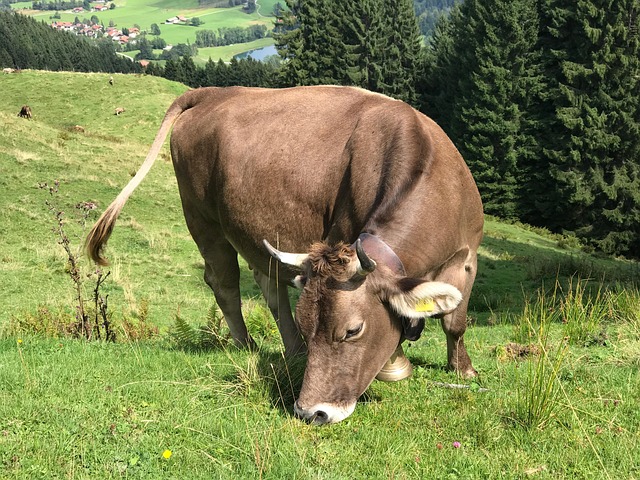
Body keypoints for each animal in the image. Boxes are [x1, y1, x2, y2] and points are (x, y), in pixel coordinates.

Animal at [86, 86, 484, 424]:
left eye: (353, 330)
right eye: (311, 325)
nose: (312, 412)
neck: (435, 184)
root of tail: (213, 92)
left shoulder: (468, 258)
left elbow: (454, 321)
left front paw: (463, 369)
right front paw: (395, 366)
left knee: (270, 286)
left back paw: (292, 350)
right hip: (202, 219)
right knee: (225, 284)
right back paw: (247, 343)